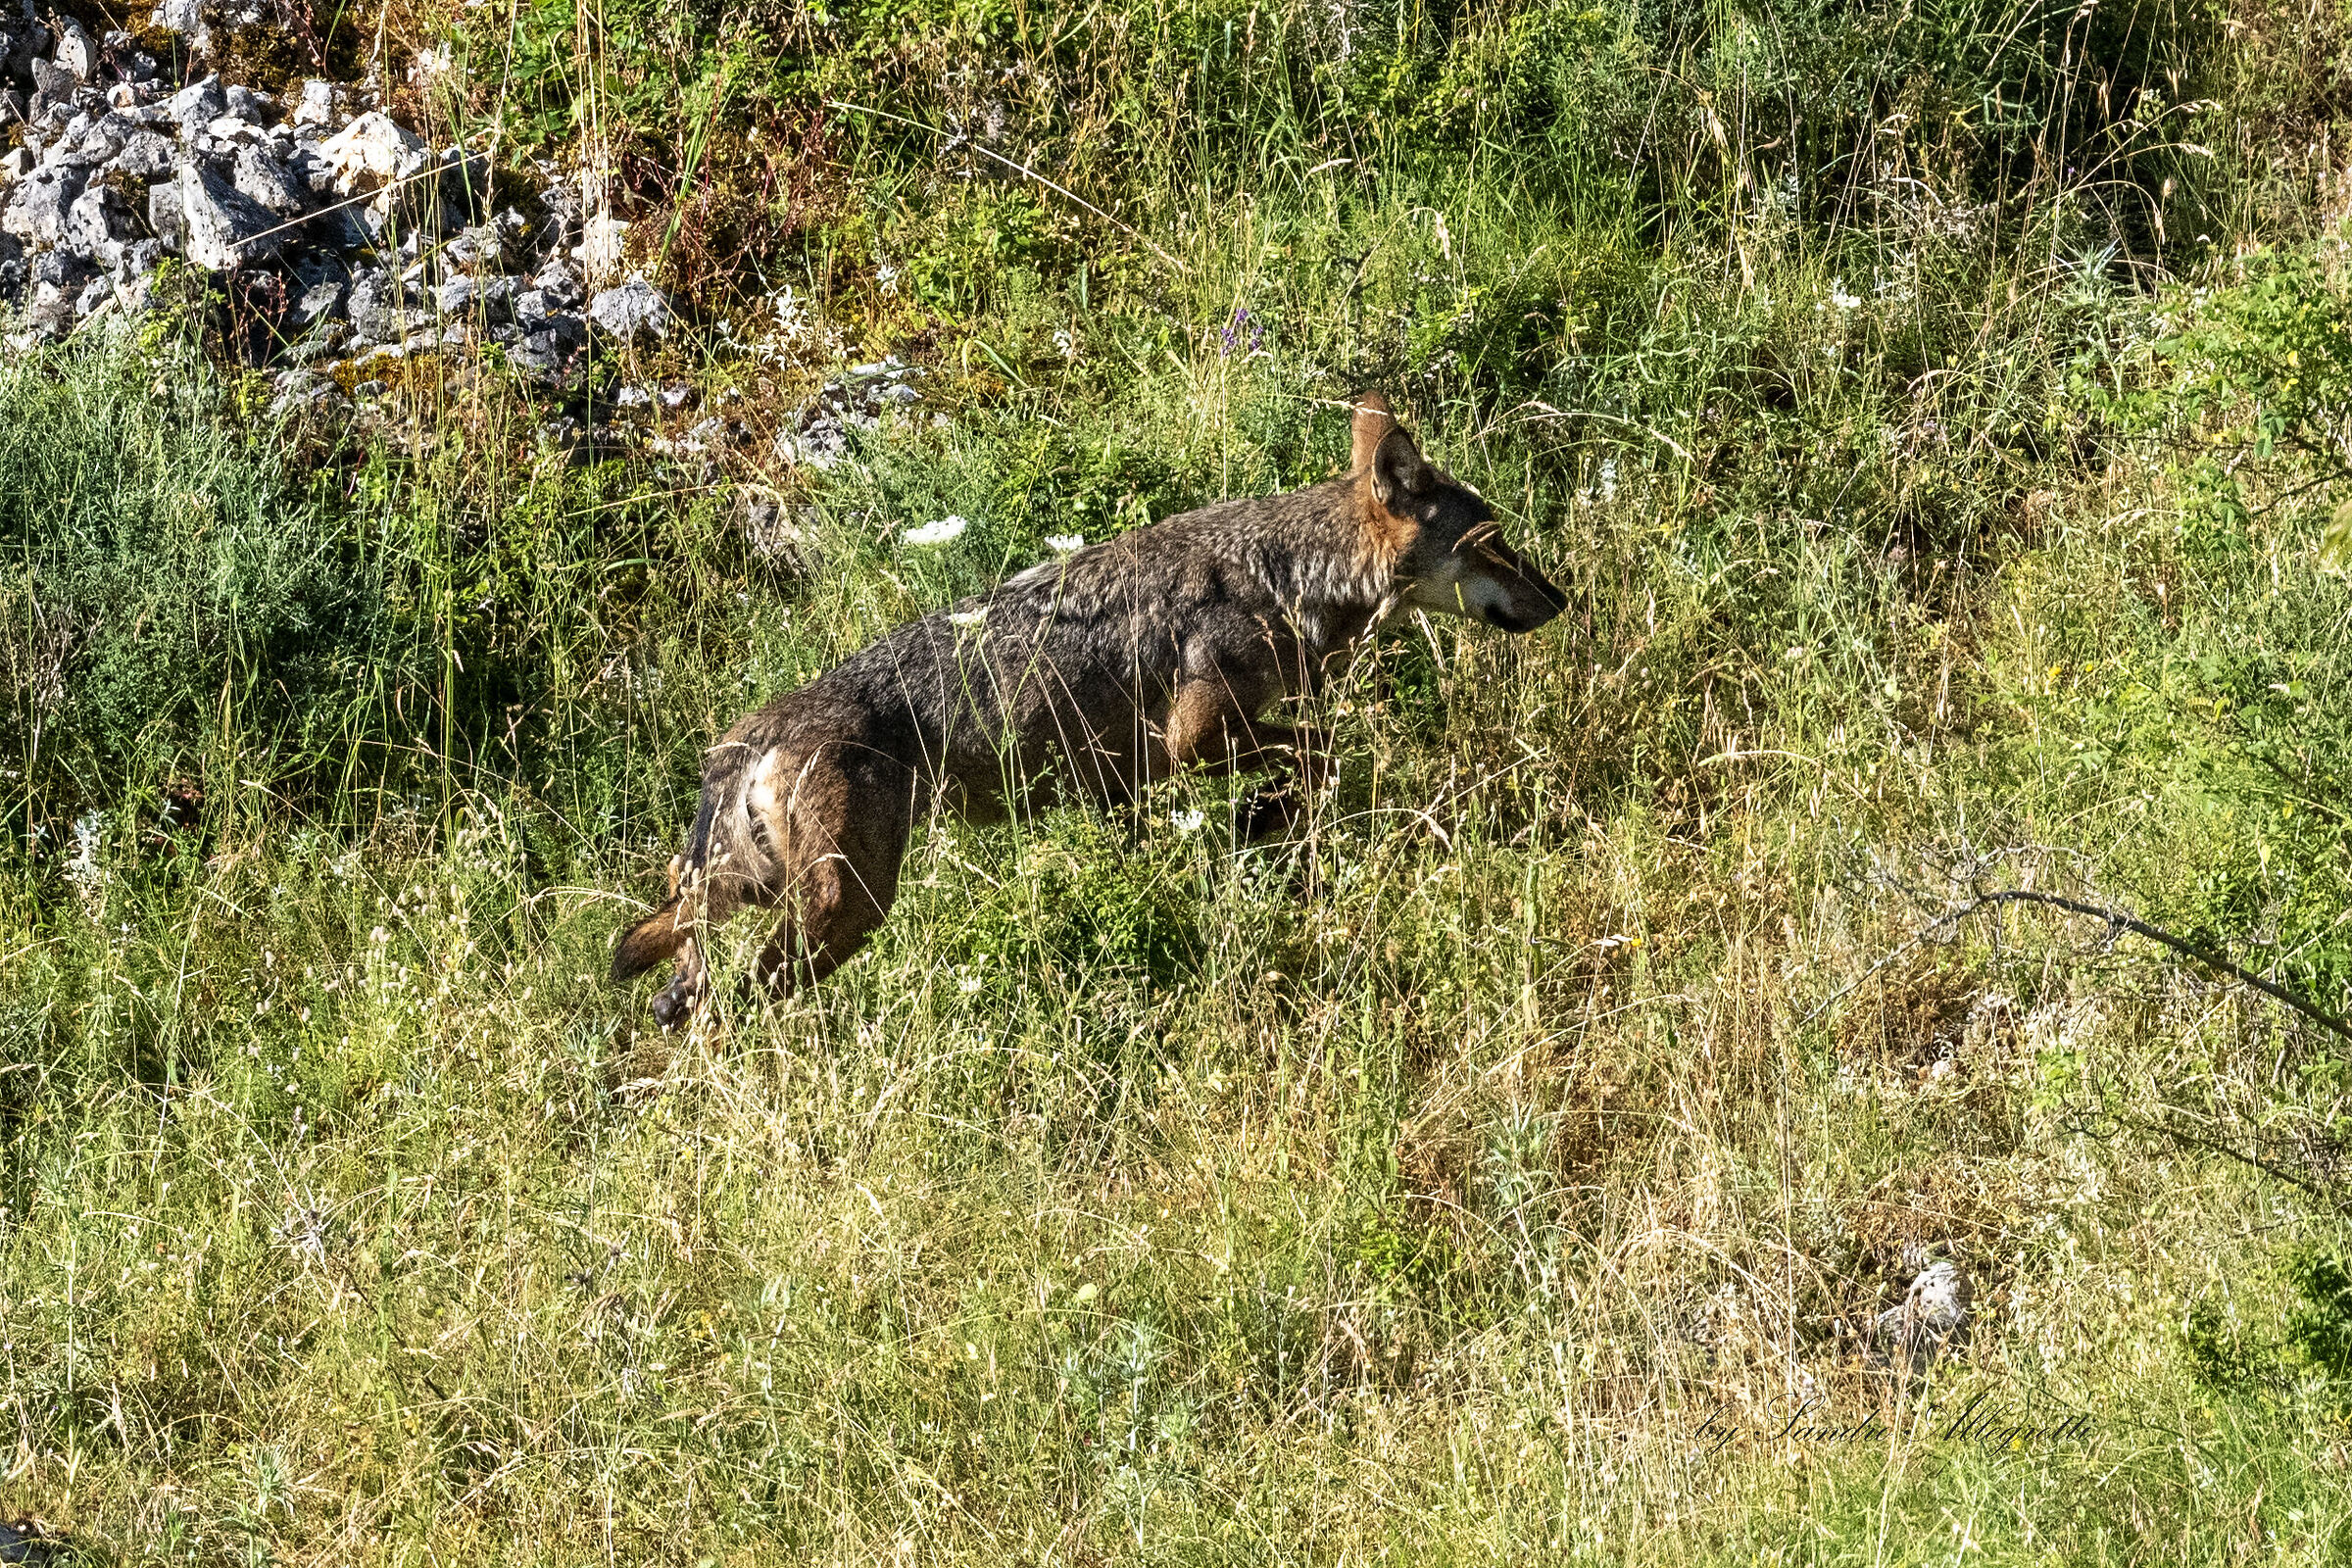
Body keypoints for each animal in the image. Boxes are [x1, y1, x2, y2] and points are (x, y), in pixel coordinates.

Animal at [612, 392, 1564, 1023]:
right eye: (1493, 544)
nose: (1560, 601)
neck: (1286, 579)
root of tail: (753, 733)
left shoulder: (1125, 783)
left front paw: (1261, 822)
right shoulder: (1194, 740)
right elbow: (1321, 750)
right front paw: (1268, 814)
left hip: (754, 891)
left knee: (675, 966)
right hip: (844, 907)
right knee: (737, 992)